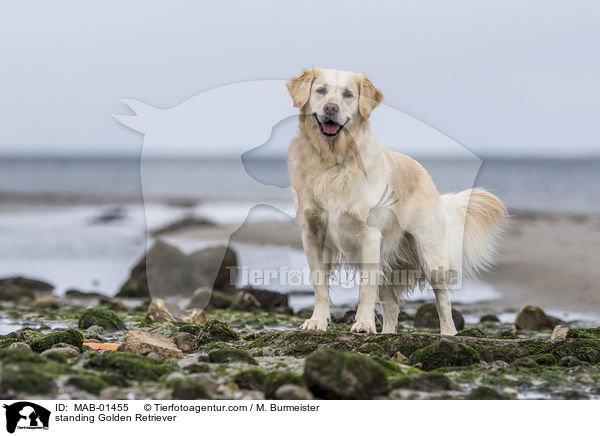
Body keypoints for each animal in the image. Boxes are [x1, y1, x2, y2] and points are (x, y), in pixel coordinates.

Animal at [286, 67, 506, 334]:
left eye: (348, 94)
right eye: (321, 90)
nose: (330, 108)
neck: (333, 161)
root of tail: (426, 174)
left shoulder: (369, 235)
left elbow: (365, 289)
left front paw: (363, 323)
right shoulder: (313, 235)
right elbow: (320, 286)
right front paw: (317, 321)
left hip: (431, 255)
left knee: (443, 301)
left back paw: (448, 333)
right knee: (391, 309)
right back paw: (387, 334)